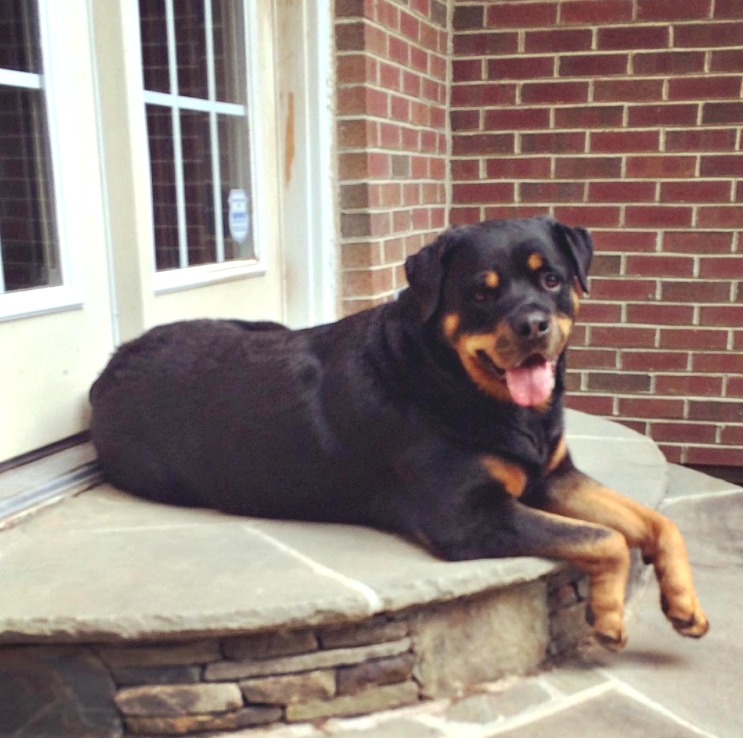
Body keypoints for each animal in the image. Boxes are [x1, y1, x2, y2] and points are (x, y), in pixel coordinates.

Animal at [91, 216, 708, 648]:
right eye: (481, 292)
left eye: (551, 278)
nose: (533, 325)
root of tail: (112, 362)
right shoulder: (469, 514)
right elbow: (605, 539)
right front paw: (608, 617)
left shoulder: (554, 476)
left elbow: (658, 523)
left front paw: (685, 605)